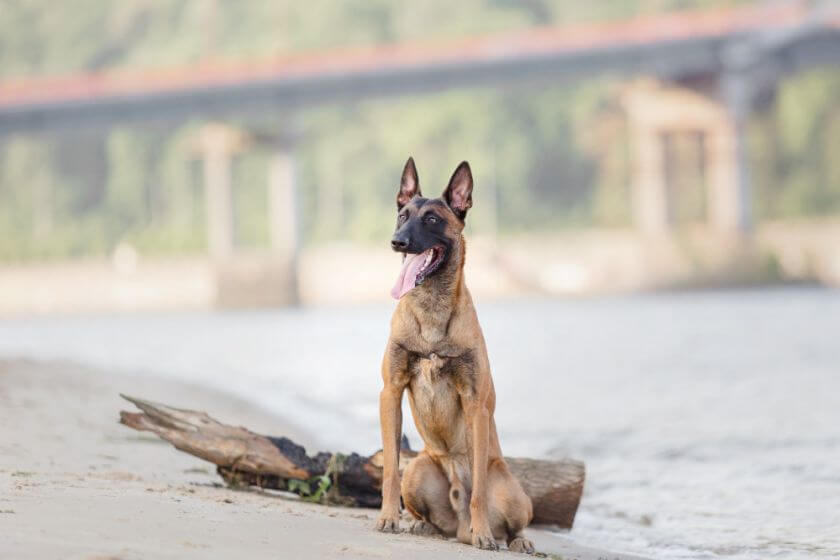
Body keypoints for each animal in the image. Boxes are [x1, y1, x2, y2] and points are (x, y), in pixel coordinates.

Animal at [376, 156, 536, 552]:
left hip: (512, 491)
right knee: (427, 512)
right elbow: (388, 470)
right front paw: (387, 517)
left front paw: (485, 534)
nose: (397, 242)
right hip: (418, 469)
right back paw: (424, 526)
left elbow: (478, 488)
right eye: (402, 215)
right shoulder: (391, 392)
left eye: (432, 219)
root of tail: (458, 524)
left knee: (512, 520)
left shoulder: (475, 402)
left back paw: (511, 539)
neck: (432, 309)